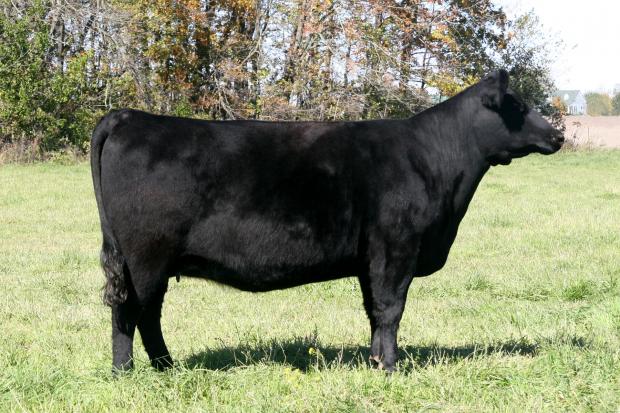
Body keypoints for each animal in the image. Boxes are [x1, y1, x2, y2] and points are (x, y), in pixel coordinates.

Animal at [91, 70, 560, 370]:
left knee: (145, 314)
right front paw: (392, 369)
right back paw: (129, 372)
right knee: (132, 313)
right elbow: (391, 308)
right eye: (518, 106)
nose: (558, 134)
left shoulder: (370, 257)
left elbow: (374, 310)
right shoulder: (397, 247)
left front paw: (375, 361)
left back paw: (164, 368)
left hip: (145, 260)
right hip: (145, 258)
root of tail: (129, 115)